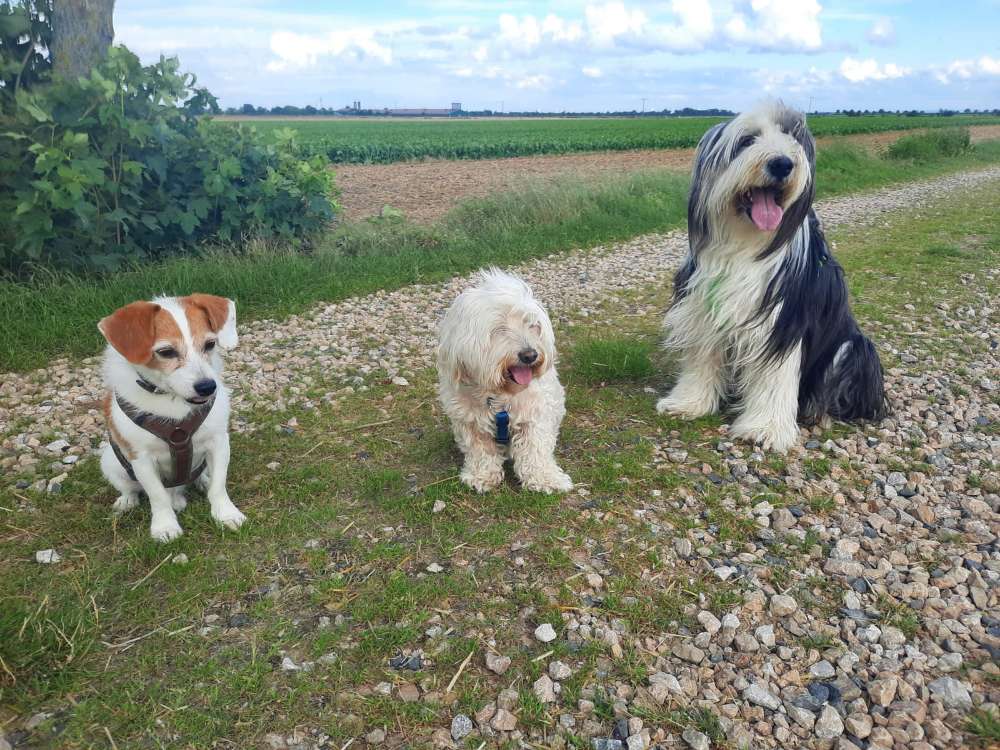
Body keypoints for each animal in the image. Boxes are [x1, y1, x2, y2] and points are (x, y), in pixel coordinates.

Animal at [98, 292, 246, 540]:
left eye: (210, 344)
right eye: (166, 352)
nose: (207, 387)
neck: (173, 402)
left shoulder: (219, 442)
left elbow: (219, 485)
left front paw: (225, 513)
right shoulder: (141, 459)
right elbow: (157, 496)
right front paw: (165, 526)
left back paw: (202, 481)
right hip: (111, 461)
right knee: (132, 488)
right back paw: (127, 500)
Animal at [436, 268, 572, 496]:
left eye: (533, 325)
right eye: (499, 328)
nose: (530, 355)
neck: (500, 395)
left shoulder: (534, 417)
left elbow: (535, 449)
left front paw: (545, 479)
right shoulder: (470, 422)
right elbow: (481, 452)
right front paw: (481, 476)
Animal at [660, 100, 888, 452]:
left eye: (792, 138)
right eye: (747, 140)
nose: (782, 164)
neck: (745, 244)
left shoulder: (782, 322)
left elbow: (774, 377)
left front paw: (764, 429)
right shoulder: (703, 309)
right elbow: (701, 357)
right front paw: (688, 402)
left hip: (853, 349)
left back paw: (817, 412)